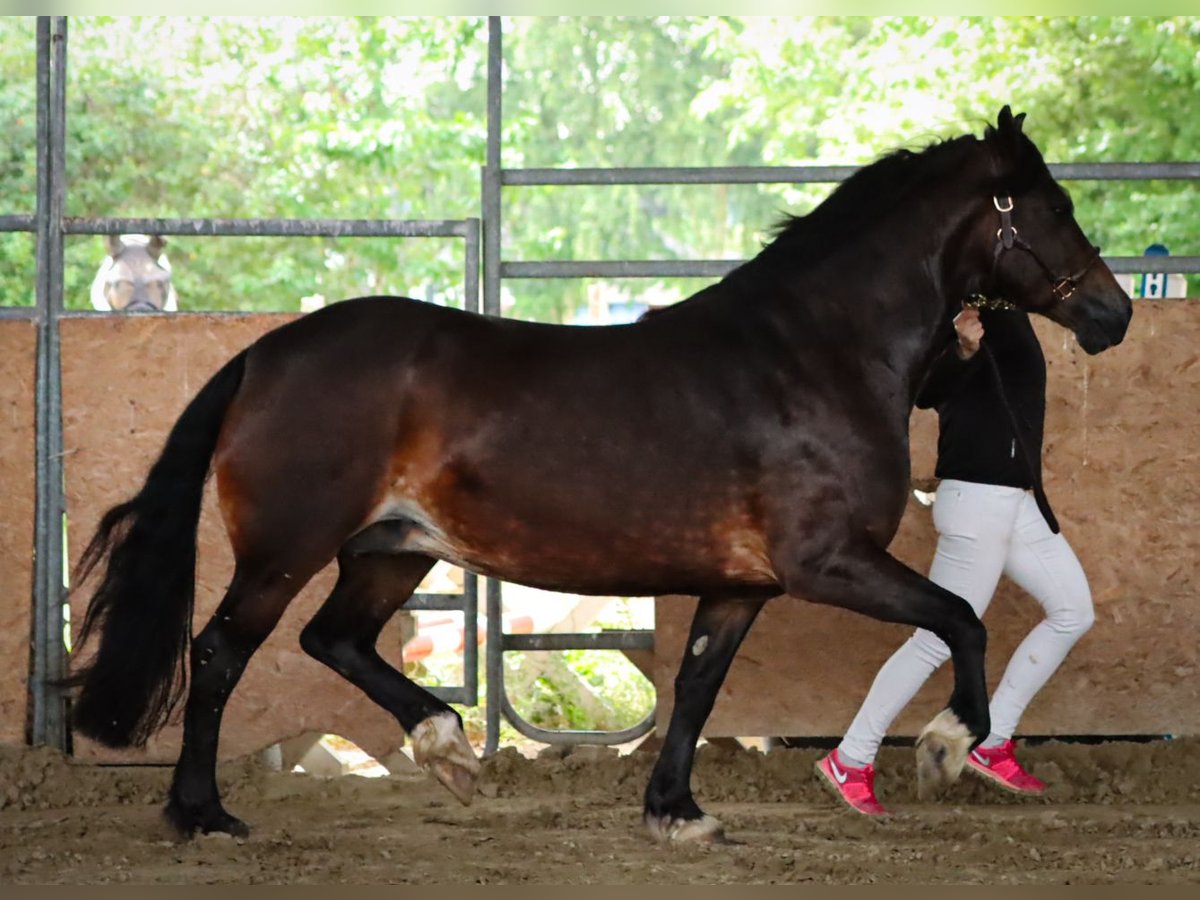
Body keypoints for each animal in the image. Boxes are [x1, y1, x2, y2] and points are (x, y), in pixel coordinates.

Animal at [70, 107, 1128, 844]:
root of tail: (264, 354)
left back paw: (446, 748)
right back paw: (204, 814)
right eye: (1053, 209)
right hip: (287, 551)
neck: (810, 355)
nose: (1113, 314)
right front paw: (949, 745)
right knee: (220, 655)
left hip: (393, 550)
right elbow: (962, 620)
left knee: (333, 641)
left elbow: (696, 689)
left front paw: (675, 812)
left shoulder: (739, 587)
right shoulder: (830, 561)